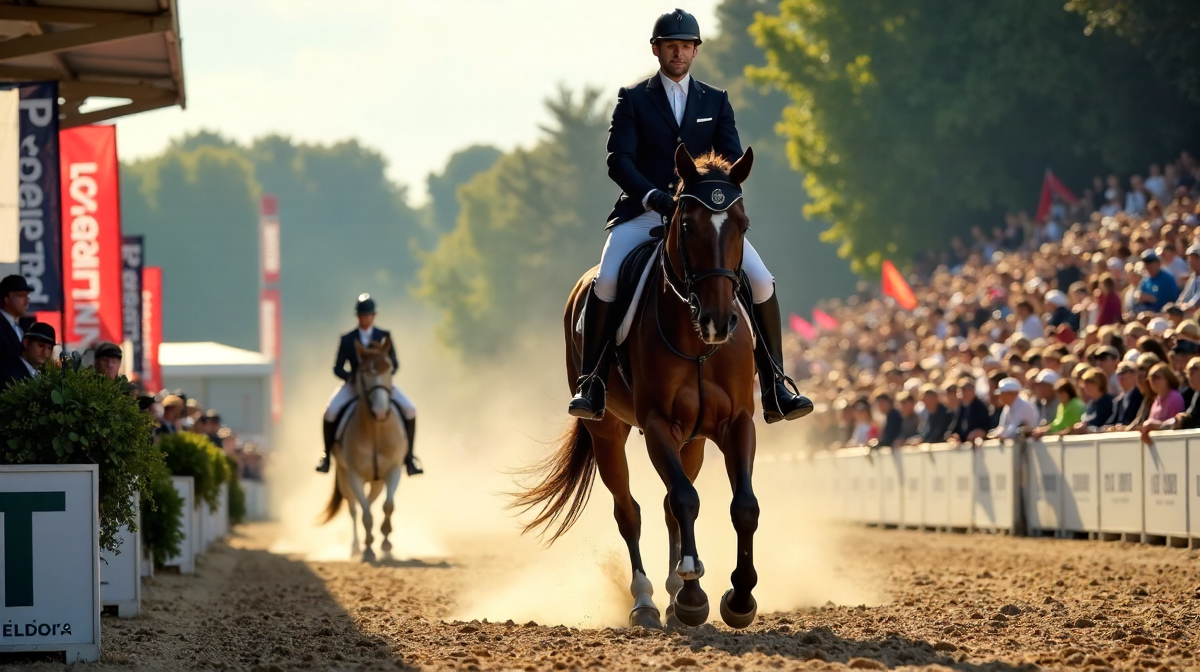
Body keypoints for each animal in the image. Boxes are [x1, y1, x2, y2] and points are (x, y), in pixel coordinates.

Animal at [320, 338, 410, 562]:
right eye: (363, 371)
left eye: (389, 368)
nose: (380, 411)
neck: (376, 431)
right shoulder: (355, 476)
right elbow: (365, 513)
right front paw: (368, 549)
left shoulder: (393, 471)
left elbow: (388, 506)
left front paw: (386, 545)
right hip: (343, 476)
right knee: (354, 509)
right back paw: (356, 548)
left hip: (376, 481)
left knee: (369, 502)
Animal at [515, 145, 763, 630]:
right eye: (687, 225)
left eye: (743, 224)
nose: (718, 322)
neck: (698, 343)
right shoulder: (658, 425)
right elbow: (685, 499)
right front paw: (693, 597)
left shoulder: (737, 422)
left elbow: (742, 505)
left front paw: (738, 598)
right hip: (608, 432)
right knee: (629, 511)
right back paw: (647, 600)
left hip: (694, 441)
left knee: (667, 506)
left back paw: (671, 592)